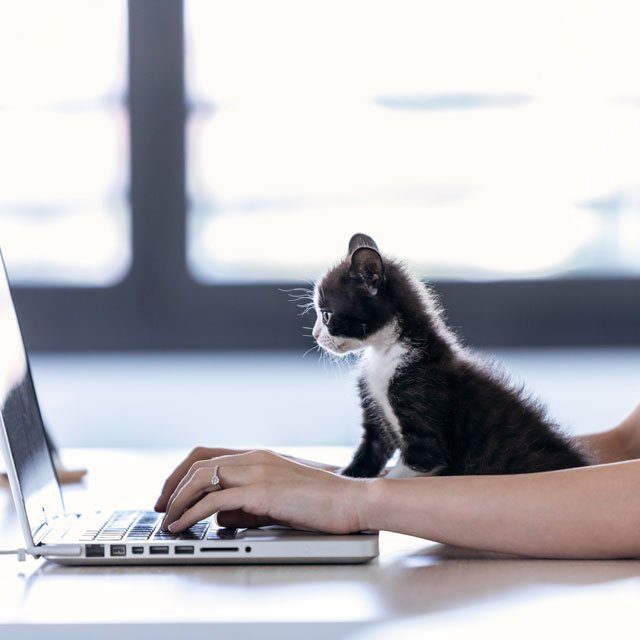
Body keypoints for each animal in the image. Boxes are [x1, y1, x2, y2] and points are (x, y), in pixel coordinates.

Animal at [310, 232, 592, 478]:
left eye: (326, 315)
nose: (315, 335)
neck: (387, 352)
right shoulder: (376, 417)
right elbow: (369, 453)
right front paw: (347, 475)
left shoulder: (425, 425)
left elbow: (410, 468)